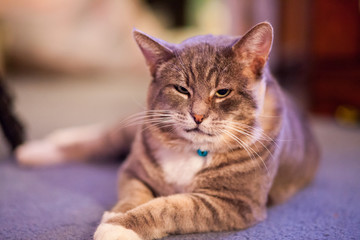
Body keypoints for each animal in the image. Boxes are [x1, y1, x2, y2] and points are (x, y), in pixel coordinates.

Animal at [15, 21, 320, 239]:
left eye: (222, 92)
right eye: (182, 89)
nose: (197, 116)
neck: (191, 150)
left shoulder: (233, 203)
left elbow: (171, 206)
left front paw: (120, 226)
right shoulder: (133, 172)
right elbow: (132, 197)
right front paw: (115, 216)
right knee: (101, 138)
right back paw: (36, 149)